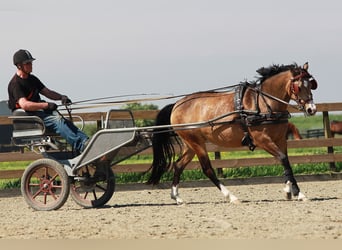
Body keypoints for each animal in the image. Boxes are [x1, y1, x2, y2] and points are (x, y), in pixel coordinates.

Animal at [147, 62, 318, 203]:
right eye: (298, 86)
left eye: (311, 84)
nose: (312, 109)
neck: (264, 104)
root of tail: (177, 105)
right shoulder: (262, 139)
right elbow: (282, 159)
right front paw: (295, 192)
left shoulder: (280, 139)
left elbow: (286, 161)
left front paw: (291, 191)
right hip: (196, 142)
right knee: (207, 169)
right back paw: (231, 196)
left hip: (191, 144)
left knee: (178, 165)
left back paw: (177, 197)